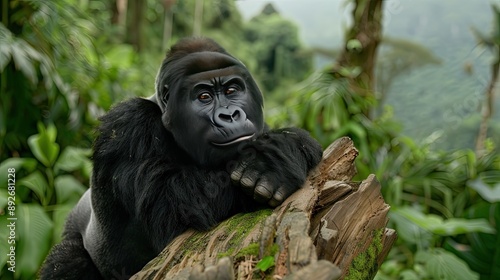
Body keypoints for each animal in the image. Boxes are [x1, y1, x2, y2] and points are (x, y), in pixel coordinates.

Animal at [38, 37, 320, 280]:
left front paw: (290, 147)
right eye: (204, 96)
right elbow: (178, 202)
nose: (230, 115)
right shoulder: (126, 124)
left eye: (232, 90)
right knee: (67, 260)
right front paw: (271, 164)